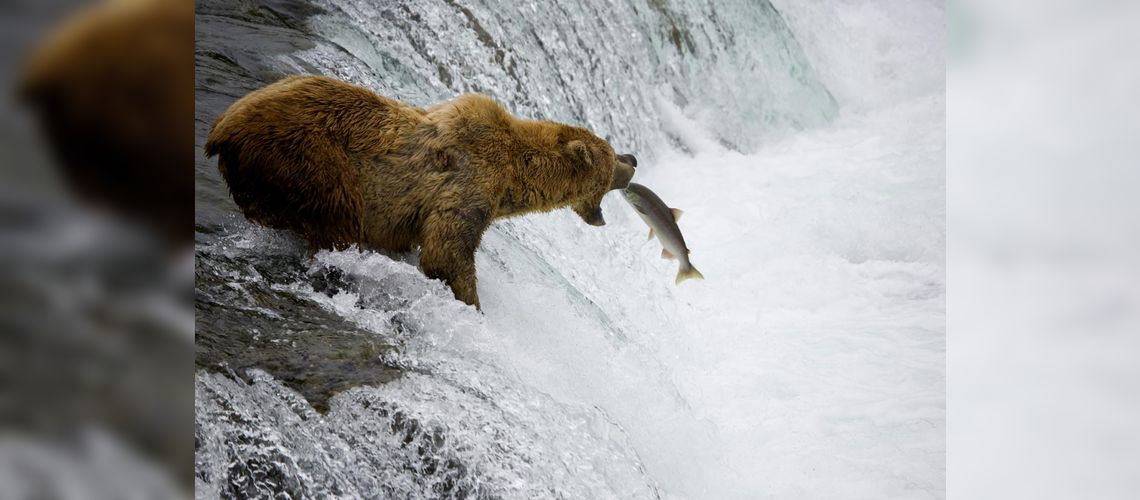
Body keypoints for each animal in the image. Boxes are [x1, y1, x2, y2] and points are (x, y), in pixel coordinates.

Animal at [205, 75, 637, 308]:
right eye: (610, 156)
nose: (632, 159)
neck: (513, 178)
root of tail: (223, 128)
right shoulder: (469, 181)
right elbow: (446, 251)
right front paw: (472, 304)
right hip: (307, 157)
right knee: (338, 220)